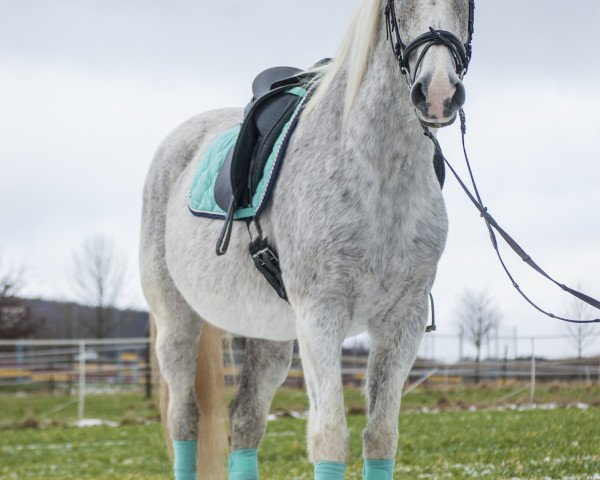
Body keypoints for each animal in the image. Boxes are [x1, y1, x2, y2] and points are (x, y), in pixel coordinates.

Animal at [139, 0, 474, 478]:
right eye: (397, 6)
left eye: (469, 5)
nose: (439, 92)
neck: (378, 175)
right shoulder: (320, 315)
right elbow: (330, 438)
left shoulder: (402, 323)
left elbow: (381, 438)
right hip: (177, 321)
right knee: (184, 420)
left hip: (269, 334)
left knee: (245, 420)